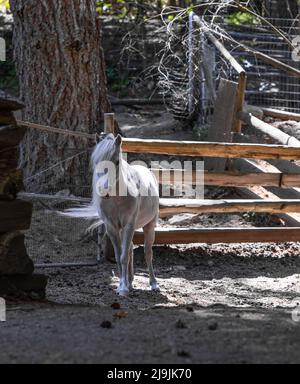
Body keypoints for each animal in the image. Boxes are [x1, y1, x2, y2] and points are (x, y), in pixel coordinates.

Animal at [66, 134, 159, 296]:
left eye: (116, 162)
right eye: (96, 162)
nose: (104, 191)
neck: (118, 198)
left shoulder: (128, 226)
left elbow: (123, 256)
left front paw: (123, 289)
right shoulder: (112, 228)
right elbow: (119, 255)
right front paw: (123, 285)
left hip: (149, 225)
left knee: (148, 252)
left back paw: (153, 284)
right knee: (130, 249)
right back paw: (130, 281)